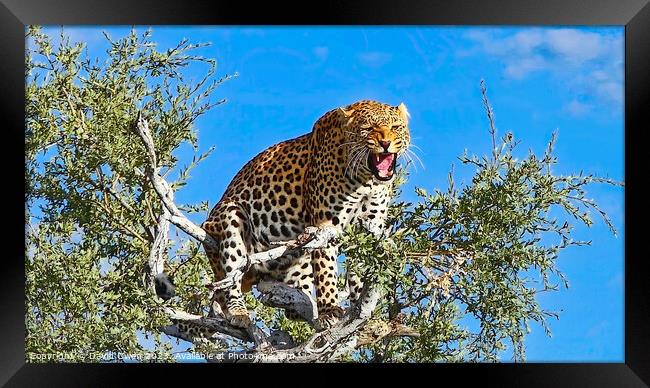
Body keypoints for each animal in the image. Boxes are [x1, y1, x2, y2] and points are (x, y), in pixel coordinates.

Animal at [201, 100, 410, 330]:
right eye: (369, 128)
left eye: (395, 127)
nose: (385, 143)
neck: (367, 182)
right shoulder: (325, 227)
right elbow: (326, 272)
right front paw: (329, 311)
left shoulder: (368, 231)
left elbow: (360, 273)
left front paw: (363, 315)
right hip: (229, 215)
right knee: (230, 278)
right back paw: (238, 312)